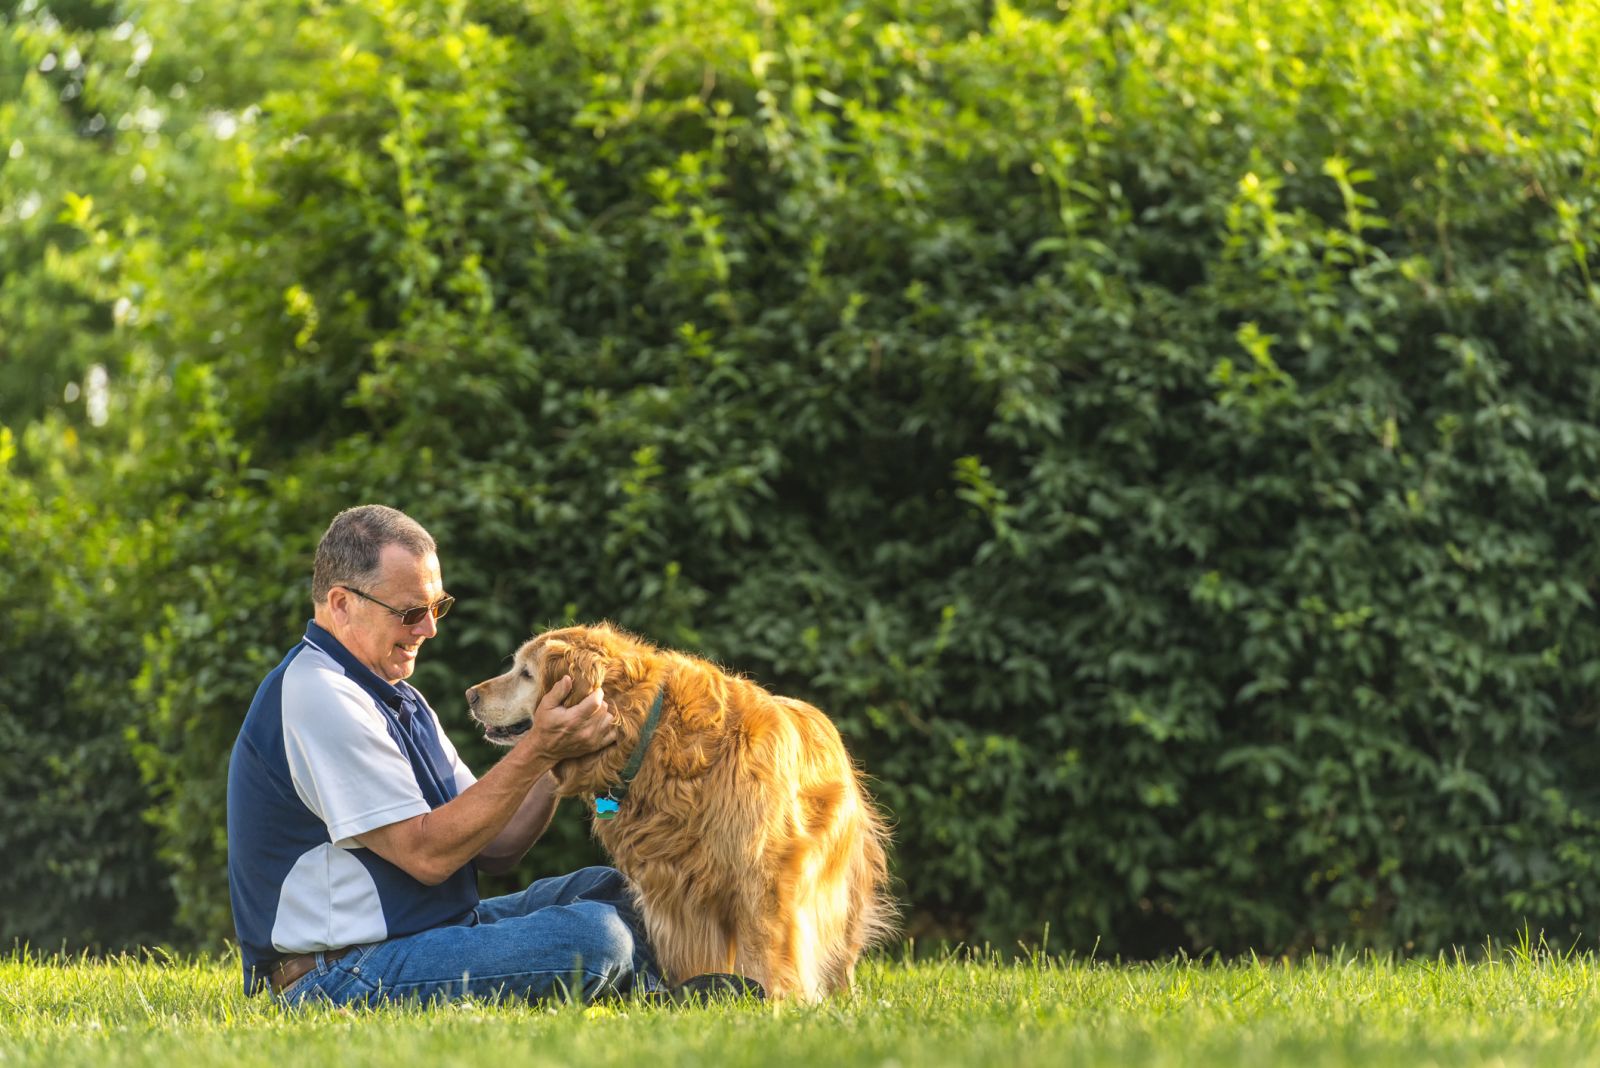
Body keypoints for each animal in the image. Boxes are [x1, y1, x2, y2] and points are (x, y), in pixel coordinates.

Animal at [467, 620, 902, 997]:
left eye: (526, 673)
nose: (471, 695)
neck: (651, 734)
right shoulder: (675, 891)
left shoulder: (765, 876)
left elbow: (767, 948)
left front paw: (775, 1001)